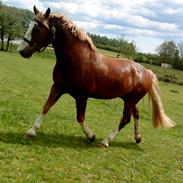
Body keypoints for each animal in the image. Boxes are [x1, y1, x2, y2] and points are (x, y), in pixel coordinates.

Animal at [18, 6, 174, 147]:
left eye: (37, 29)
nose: (21, 51)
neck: (77, 60)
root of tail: (147, 71)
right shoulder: (57, 88)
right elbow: (46, 107)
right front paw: (31, 132)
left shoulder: (82, 96)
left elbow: (80, 117)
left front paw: (91, 136)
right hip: (129, 99)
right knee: (136, 114)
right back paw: (137, 138)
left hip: (130, 100)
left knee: (126, 119)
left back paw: (106, 141)